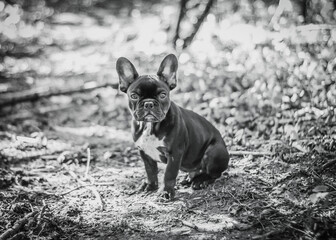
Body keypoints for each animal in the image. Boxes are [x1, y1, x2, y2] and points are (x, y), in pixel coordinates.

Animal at [117, 53, 230, 200]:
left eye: (163, 95)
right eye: (134, 96)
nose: (148, 103)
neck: (150, 126)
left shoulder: (174, 153)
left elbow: (169, 174)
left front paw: (165, 191)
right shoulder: (144, 153)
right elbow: (150, 172)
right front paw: (150, 186)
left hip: (213, 152)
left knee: (214, 174)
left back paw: (201, 181)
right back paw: (189, 179)